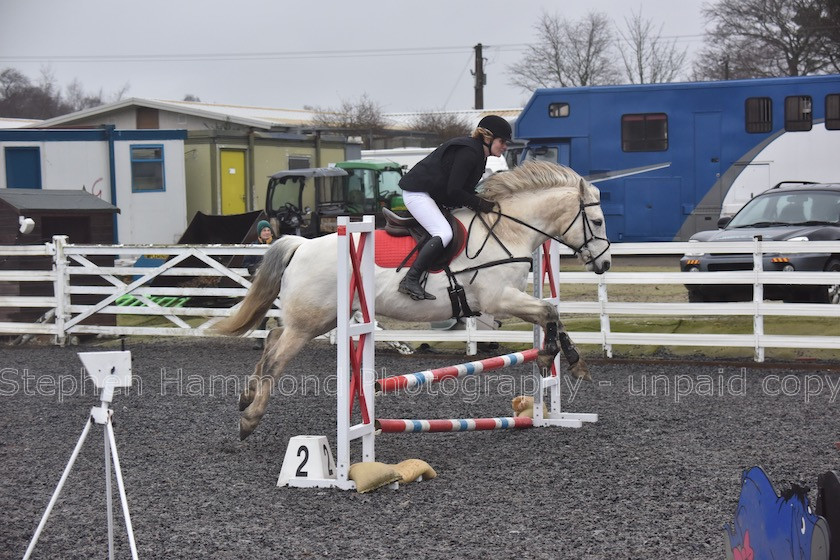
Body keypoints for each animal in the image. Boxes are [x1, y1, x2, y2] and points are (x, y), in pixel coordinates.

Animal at [215, 160, 612, 440]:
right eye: (596, 220)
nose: (604, 264)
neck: (508, 230)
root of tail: (301, 244)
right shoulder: (498, 300)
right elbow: (548, 311)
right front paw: (553, 357)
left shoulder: (507, 302)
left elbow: (552, 314)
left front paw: (570, 361)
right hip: (309, 322)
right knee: (275, 360)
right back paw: (250, 419)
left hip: (316, 319)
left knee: (272, 337)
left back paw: (246, 396)